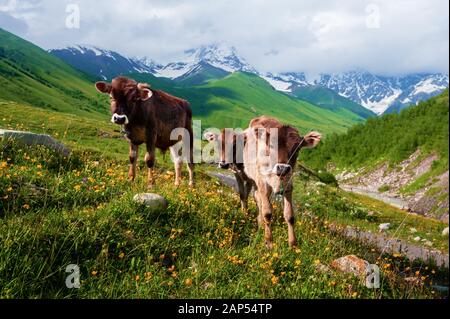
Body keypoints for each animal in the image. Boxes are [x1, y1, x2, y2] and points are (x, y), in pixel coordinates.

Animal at [244, 116, 322, 249]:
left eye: (297, 148)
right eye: (271, 145)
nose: (283, 168)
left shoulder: (288, 184)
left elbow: (290, 215)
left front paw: (293, 245)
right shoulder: (262, 182)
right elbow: (267, 213)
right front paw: (269, 242)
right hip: (254, 180)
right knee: (258, 200)